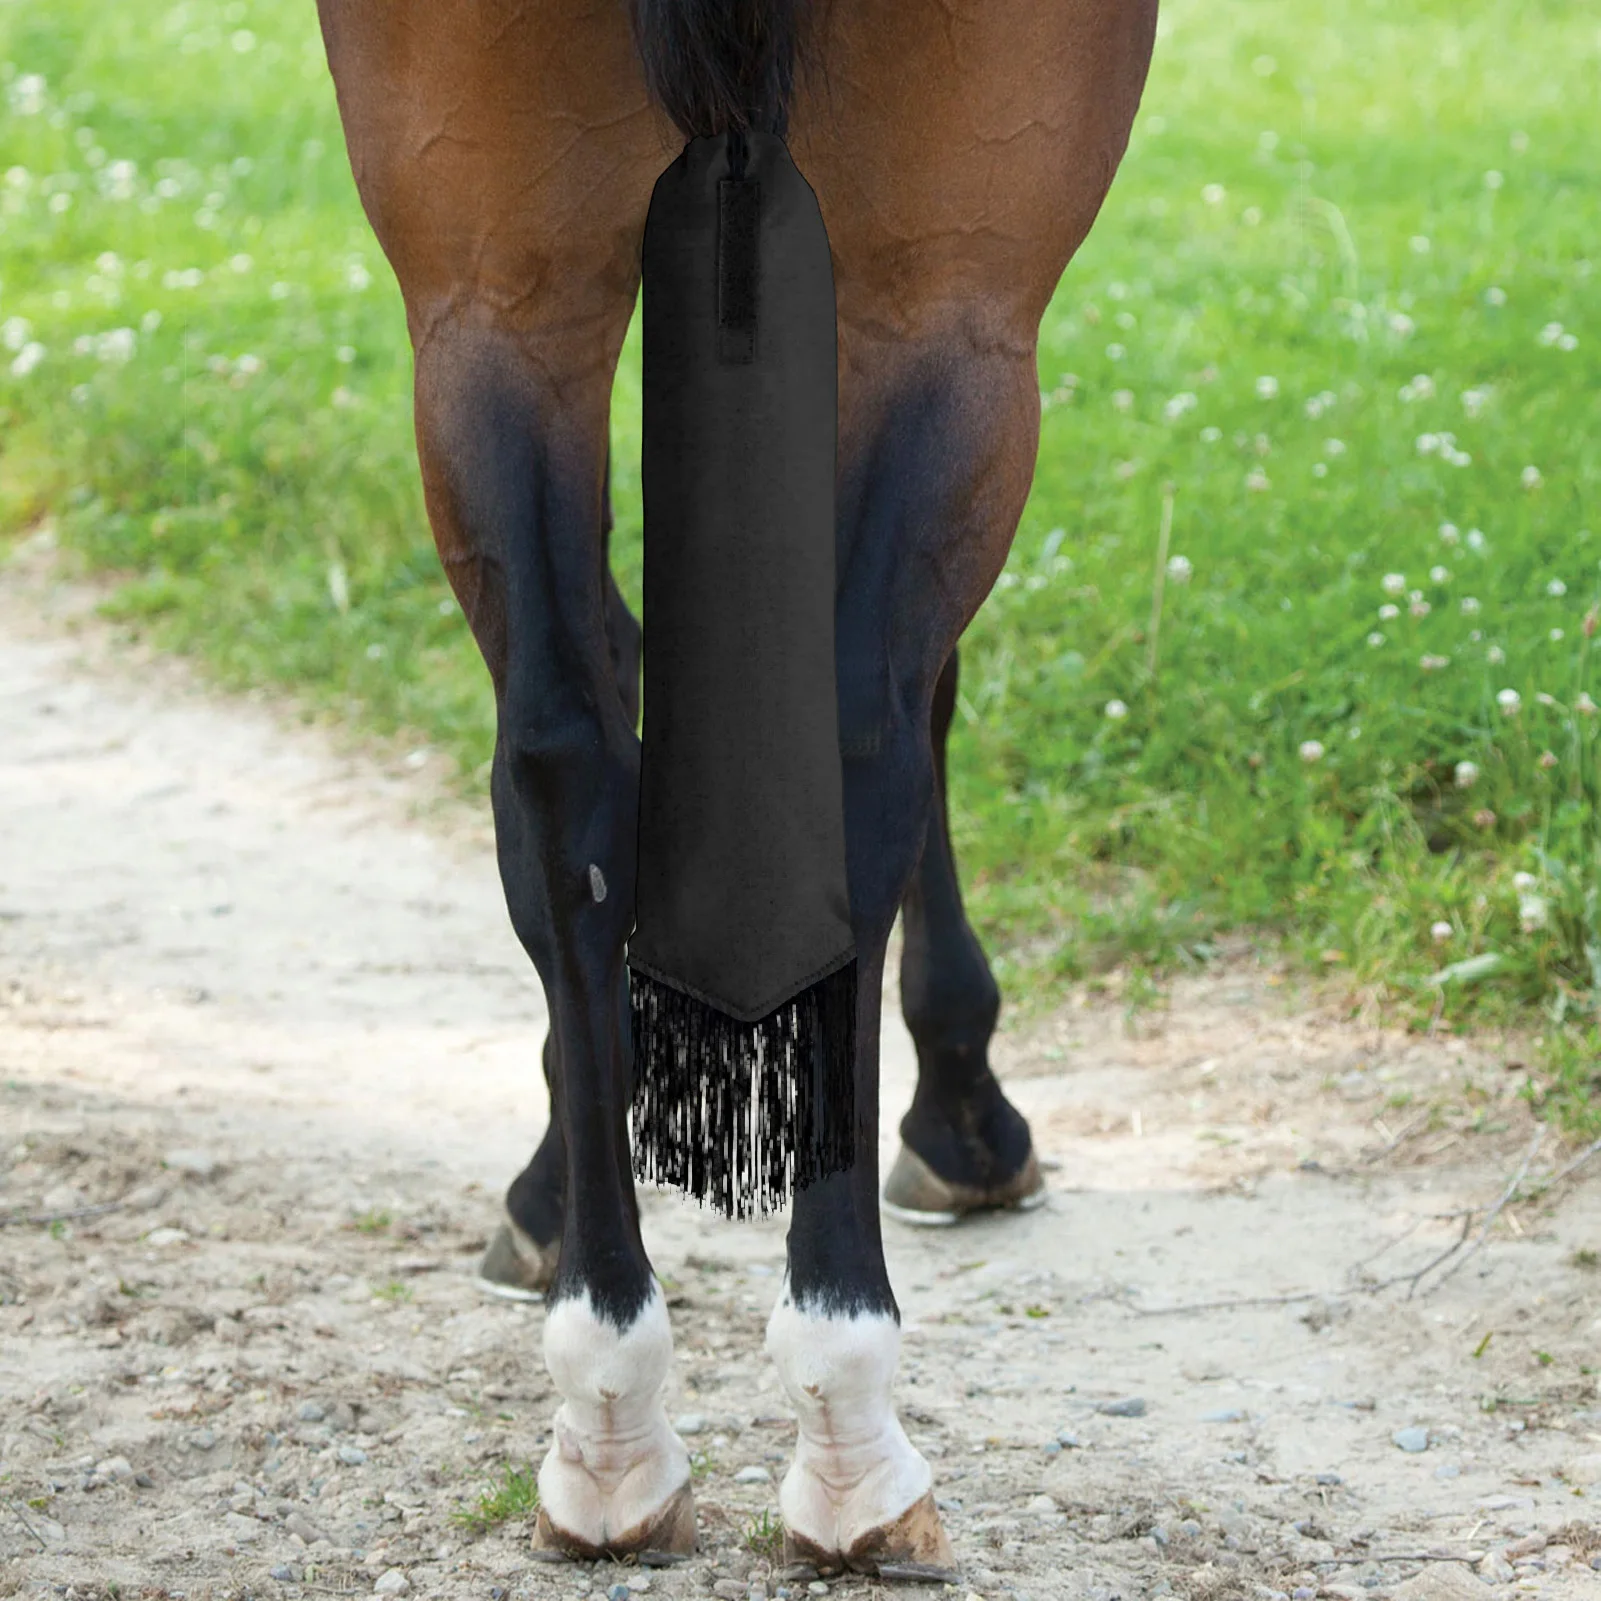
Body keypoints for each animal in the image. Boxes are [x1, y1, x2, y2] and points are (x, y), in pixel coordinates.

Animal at [315, 0, 1152, 1575]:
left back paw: (608, 1406)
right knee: (858, 742)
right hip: (953, 272)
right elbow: (912, 704)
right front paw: (959, 1106)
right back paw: (848, 1410)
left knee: (559, 759)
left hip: (491, 280)